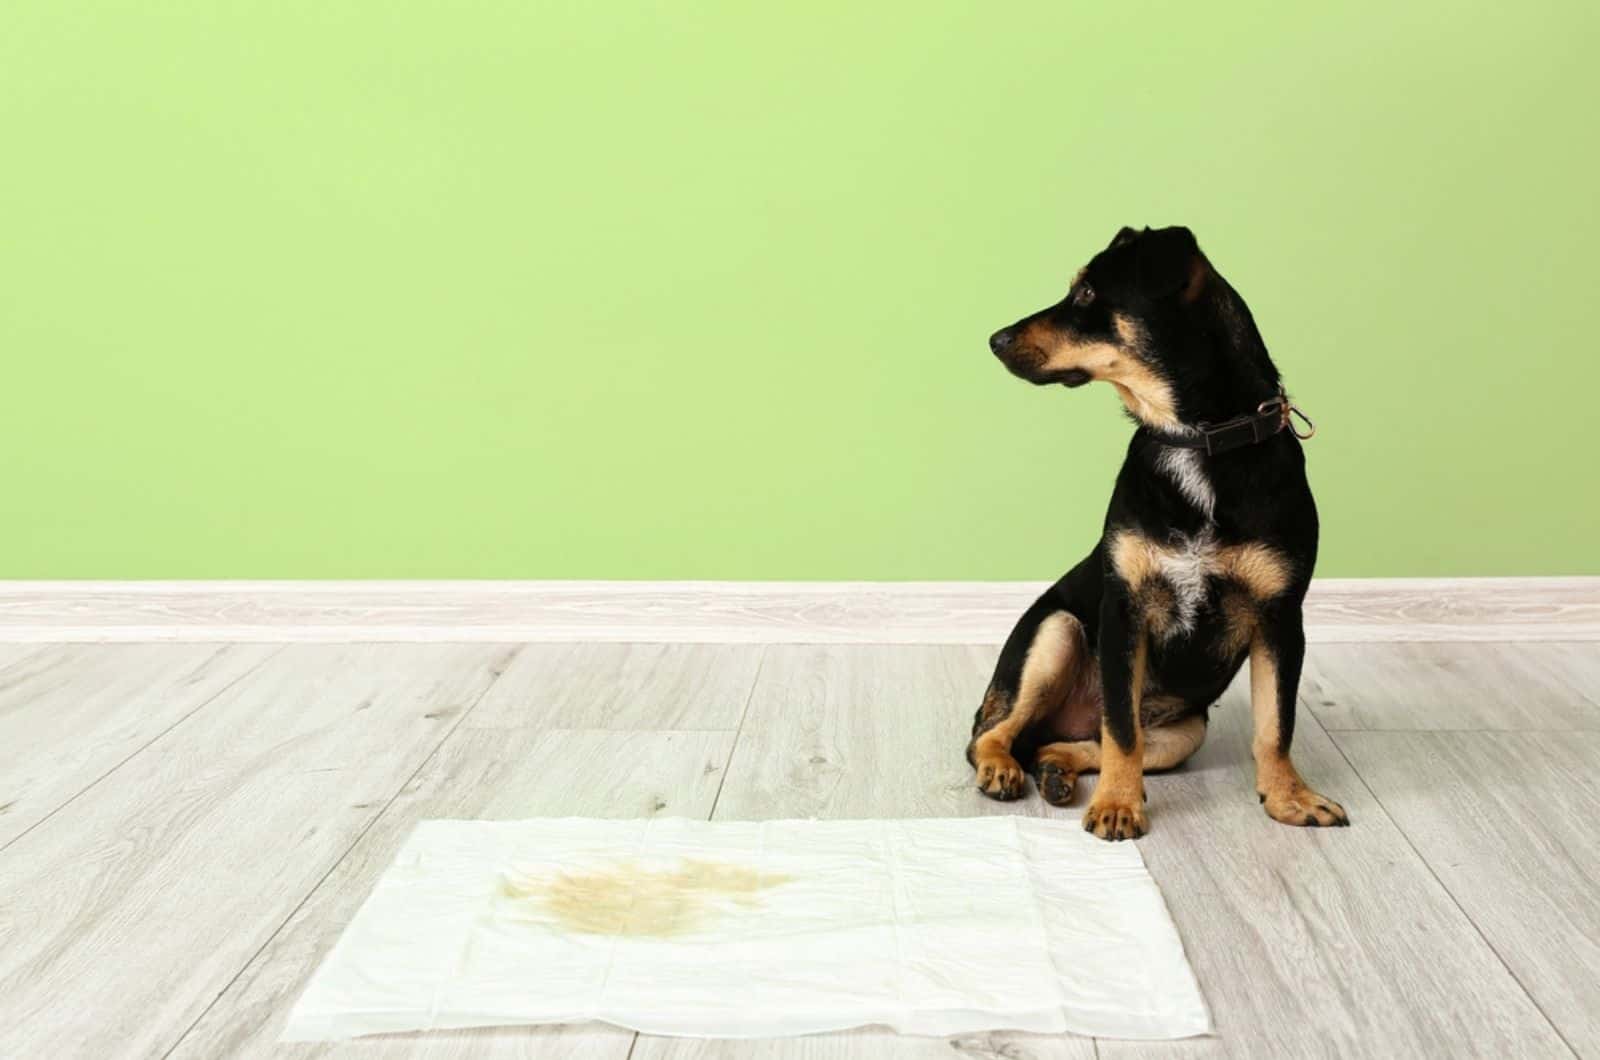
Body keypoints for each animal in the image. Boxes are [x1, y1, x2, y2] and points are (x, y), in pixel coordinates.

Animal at [960, 228, 1350, 845]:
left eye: (1088, 292)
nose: (995, 340)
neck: (1196, 437)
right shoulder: (1126, 609)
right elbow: (1122, 729)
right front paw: (1118, 808)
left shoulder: (1282, 618)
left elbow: (1275, 724)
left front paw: (1290, 799)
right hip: (1056, 631)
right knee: (990, 734)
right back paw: (1003, 769)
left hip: (1185, 731)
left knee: (1070, 742)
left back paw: (1054, 770)